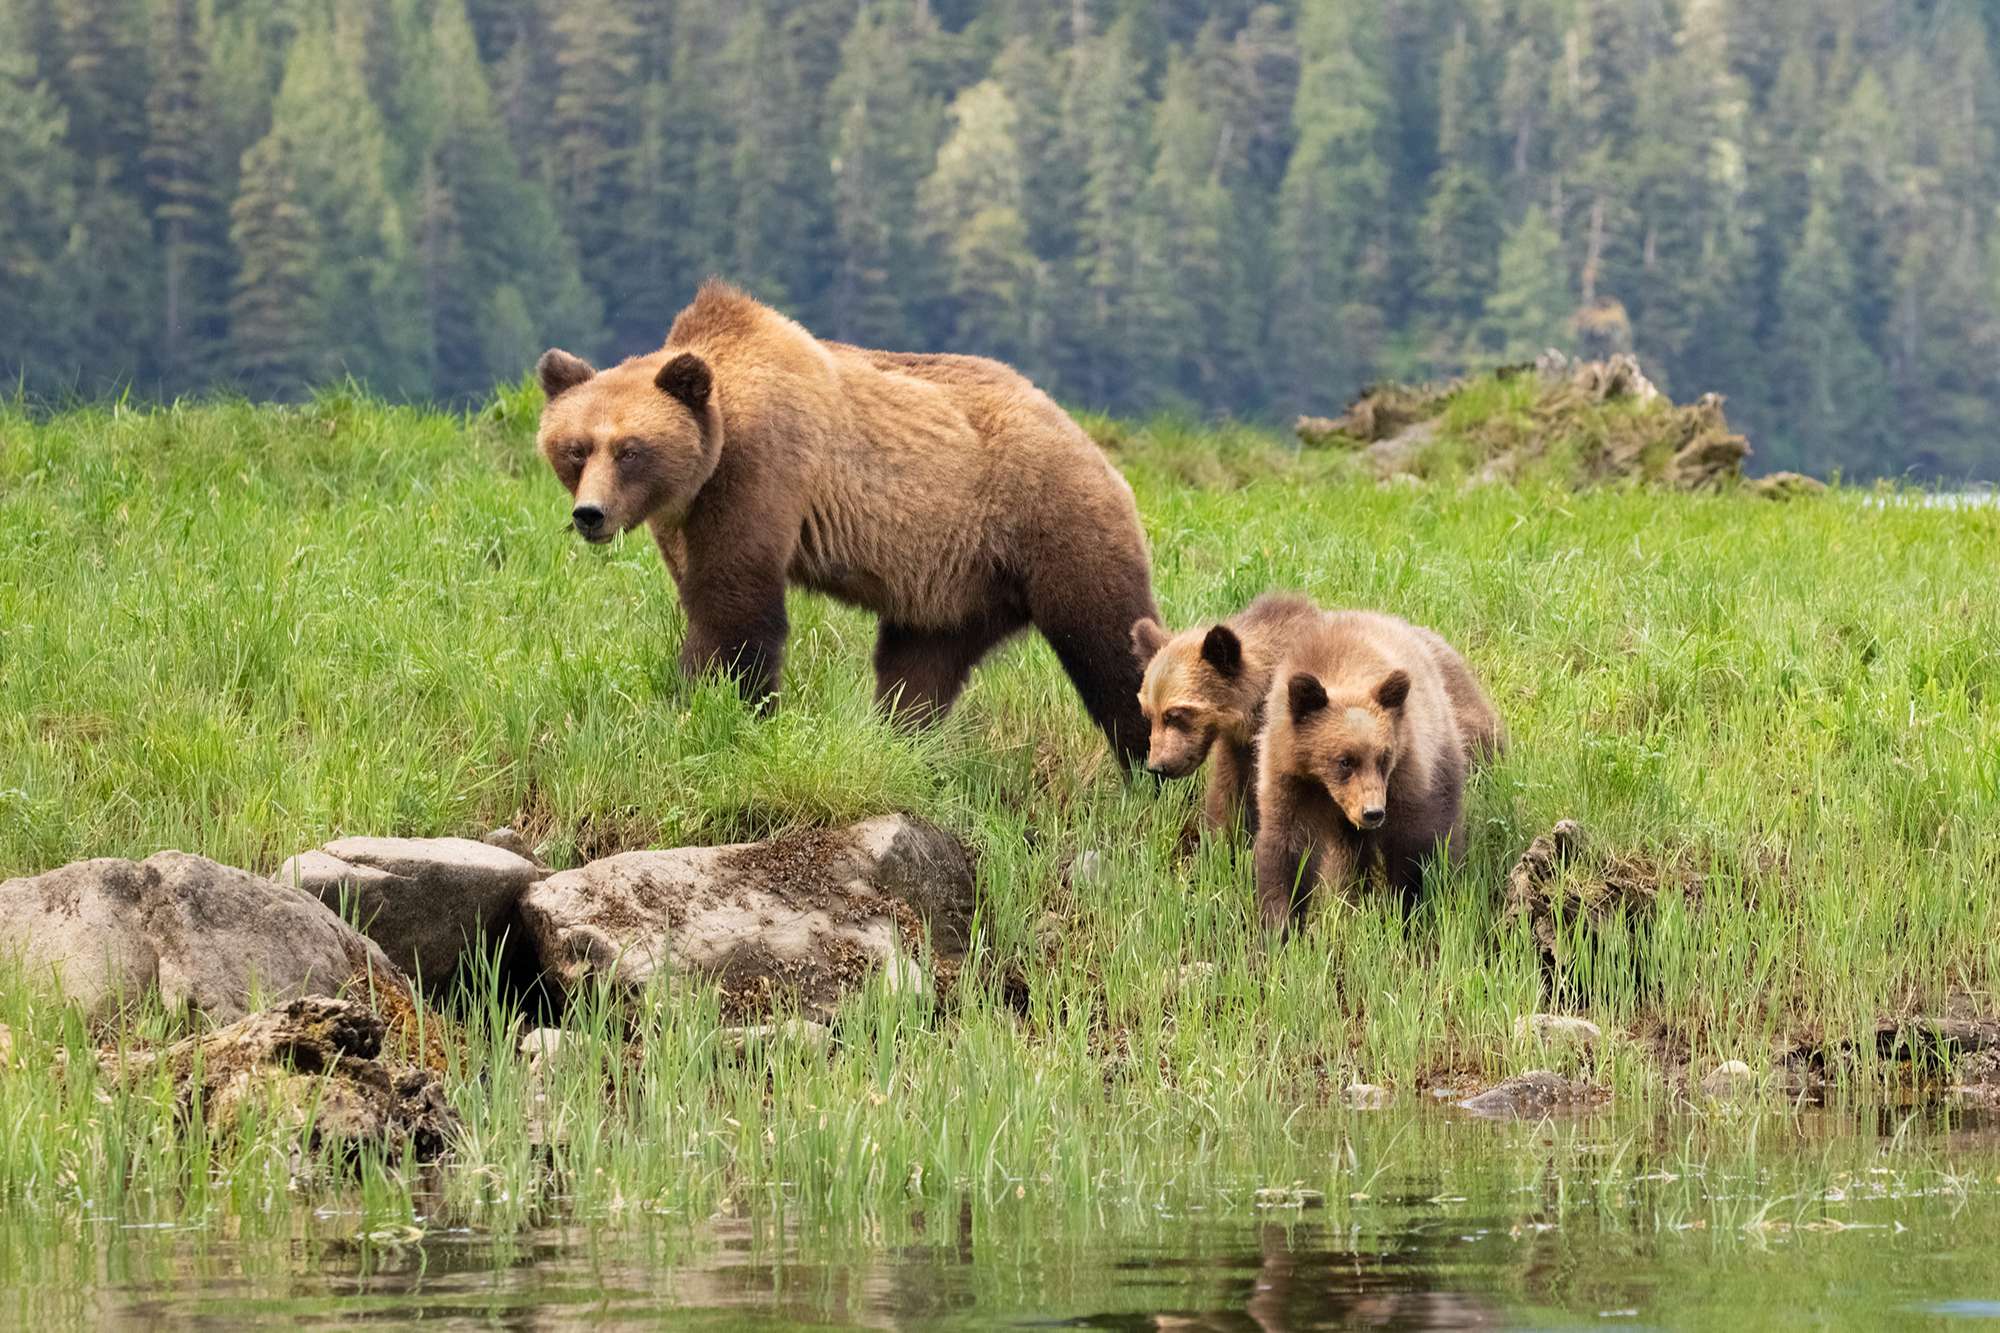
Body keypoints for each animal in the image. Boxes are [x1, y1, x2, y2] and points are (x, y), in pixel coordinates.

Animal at [536, 280, 1160, 756]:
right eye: (576, 448)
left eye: (629, 450)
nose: (590, 514)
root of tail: (1088, 443)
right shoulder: (684, 518)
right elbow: (702, 594)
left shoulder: (762, 474)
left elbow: (736, 607)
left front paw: (720, 706)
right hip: (956, 581)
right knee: (919, 665)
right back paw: (901, 741)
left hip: (1052, 521)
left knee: (1110, 643)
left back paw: (1148, 764)